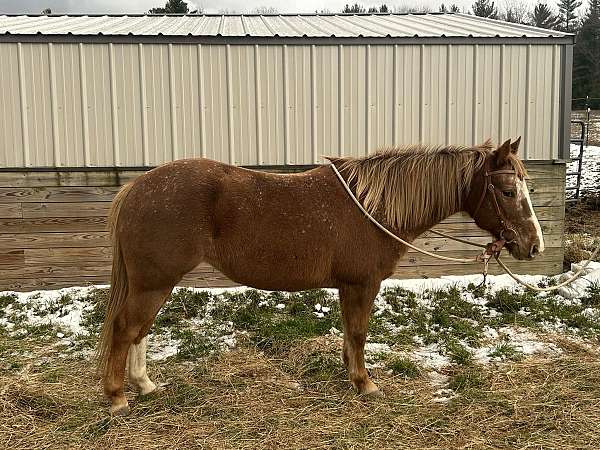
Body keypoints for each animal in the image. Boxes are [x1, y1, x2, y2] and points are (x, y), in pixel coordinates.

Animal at [97, 137, 544, 414]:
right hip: (154, 282)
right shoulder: (362, 284)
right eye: (508, 191)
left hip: (155, 283)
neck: (373, 206)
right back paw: (118, 398)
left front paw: (351, 374)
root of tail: (136, 189)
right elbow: (359, 333)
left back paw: (145, 385)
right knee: (125, 329)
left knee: (138, 331)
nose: (533, 245)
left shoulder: (349, 286)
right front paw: (365, 383)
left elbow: (349, 333)